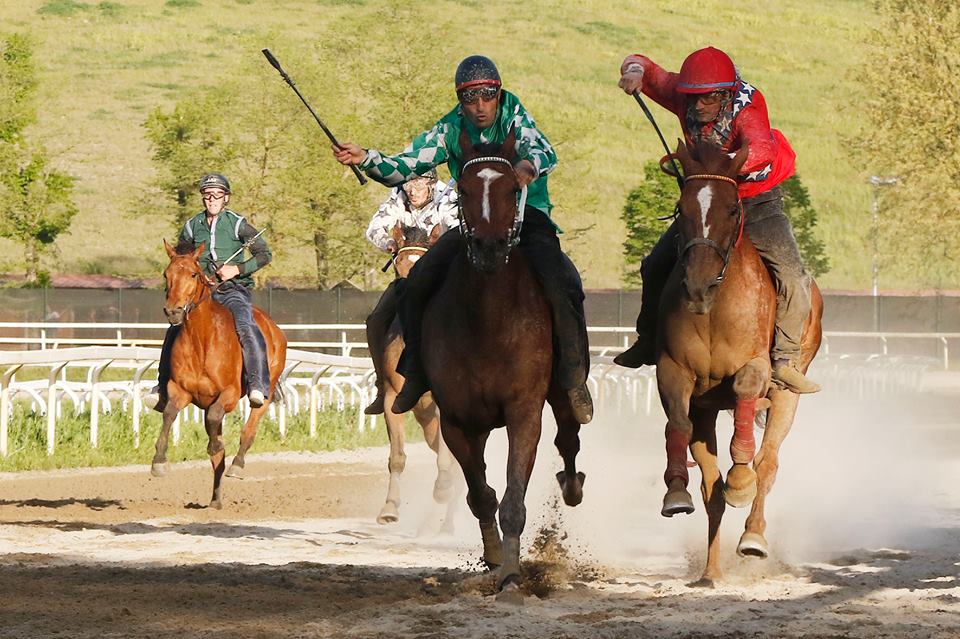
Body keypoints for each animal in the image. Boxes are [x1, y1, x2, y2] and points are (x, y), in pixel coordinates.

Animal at [154, 240, 286, 510]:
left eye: (193, 274)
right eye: (166, 274)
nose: (173, 311)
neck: (202, 340)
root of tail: (274, 329)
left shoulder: (229, 395)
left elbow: (216, 423)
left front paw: (216, 445)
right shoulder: (180, 390)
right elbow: (170, 413)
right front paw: (159, 461)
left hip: (266, 391)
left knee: (249, 429)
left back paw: (237, 464)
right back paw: (215, 499)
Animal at [376, 222, 460, 528]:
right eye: (398, 264)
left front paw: (442, 488)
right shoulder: (392, 398)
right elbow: (397, 456)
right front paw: (389, 507)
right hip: (424, 416)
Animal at [424, 129, 588, 600]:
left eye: (514, 188)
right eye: (462, 189)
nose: (490, 247)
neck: (488, 320)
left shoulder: (524, 412)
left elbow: (514, 499)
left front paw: (513, 576)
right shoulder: (457, 421)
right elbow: (481, 494)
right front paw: (496, 559)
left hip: (563, 391)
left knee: (569, 438)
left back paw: (572, 485)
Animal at [660, 142, 824, 588]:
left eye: (733, 208)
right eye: (680, 207)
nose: (698, 283)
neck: (714, 309)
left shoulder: (755, 369)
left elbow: (747, 407)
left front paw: (740, 478)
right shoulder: (674, 371)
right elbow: (677, 425)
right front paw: (675, 490)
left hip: (789, 395)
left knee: (768, 465)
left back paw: (752, 535)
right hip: (706, 411)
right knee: (710, 488)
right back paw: (711, 569)